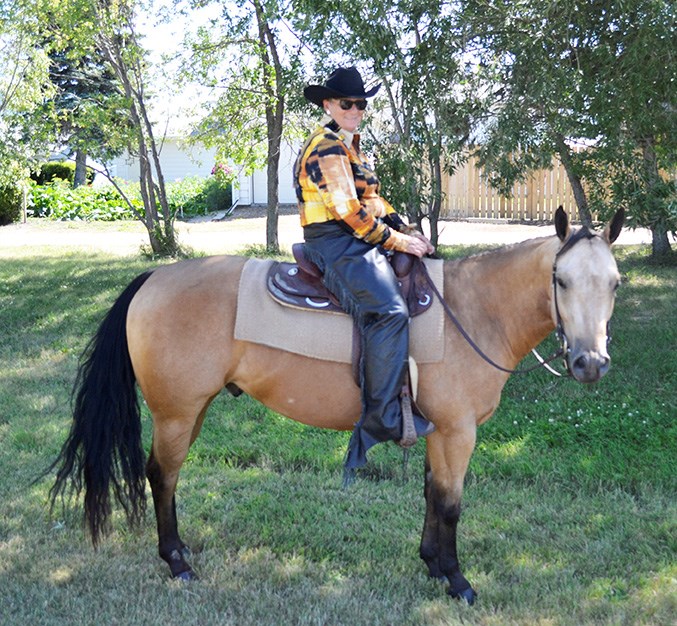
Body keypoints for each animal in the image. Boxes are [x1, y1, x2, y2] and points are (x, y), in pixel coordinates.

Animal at [51, 207, 624, 604]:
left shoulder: (436, 432)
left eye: (615, 283)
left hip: (193, 411)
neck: (474, 311)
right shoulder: (457, 431)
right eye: (562, 280)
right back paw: (177, 563)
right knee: (162, 475)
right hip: (176, 412)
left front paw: (431, 563)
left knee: (165, 474)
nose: (590, 363)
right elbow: (451, 504)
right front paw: (457, 580)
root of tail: (154, 278)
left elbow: (430, 494)